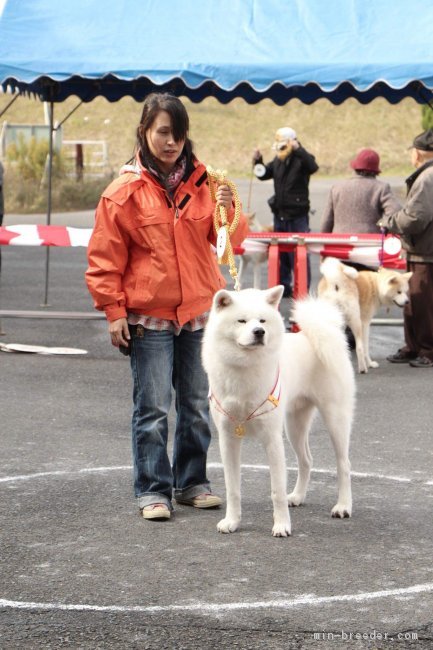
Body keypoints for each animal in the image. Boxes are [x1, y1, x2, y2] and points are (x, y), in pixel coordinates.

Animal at [202, 286, 354, 536]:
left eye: (262, 320)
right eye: (241, 320)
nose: (259, 332)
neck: (244, 368)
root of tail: (311, 335)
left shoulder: (272, 439)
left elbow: (277, 491)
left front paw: (282, 525)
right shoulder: (228, 440)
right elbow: (233, 489)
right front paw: (232, 521)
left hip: (335, 420)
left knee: (344, 465)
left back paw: (343, 506)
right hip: (295, 426)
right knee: (306, 460)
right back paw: (298, 496)